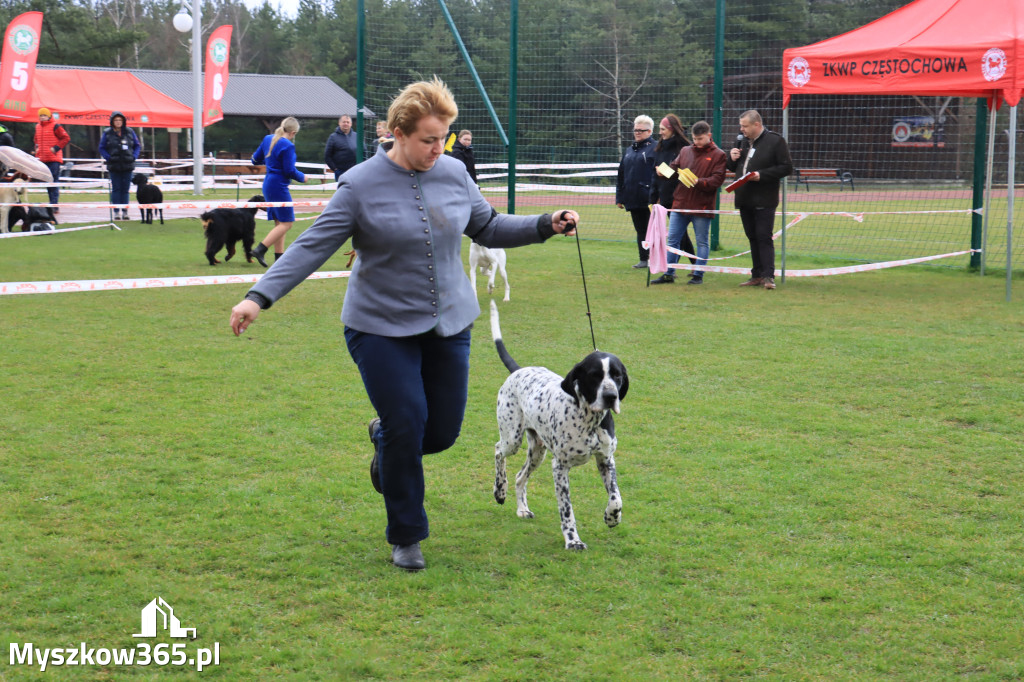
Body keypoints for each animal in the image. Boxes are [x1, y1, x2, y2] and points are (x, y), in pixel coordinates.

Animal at [489, 299, 626, 548]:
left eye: (617, 375)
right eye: (594, 375)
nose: (611, 396)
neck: (589, 421)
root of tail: (519, 370)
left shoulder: (605, 459)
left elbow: (616, 497)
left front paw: (612, 517)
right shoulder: (560, 468)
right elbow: (566, 510)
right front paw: (573, 540)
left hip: (537, 451)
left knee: (520, 477)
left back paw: (522, 509)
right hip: (512, 439)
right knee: (498, 451)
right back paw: (500, 491)